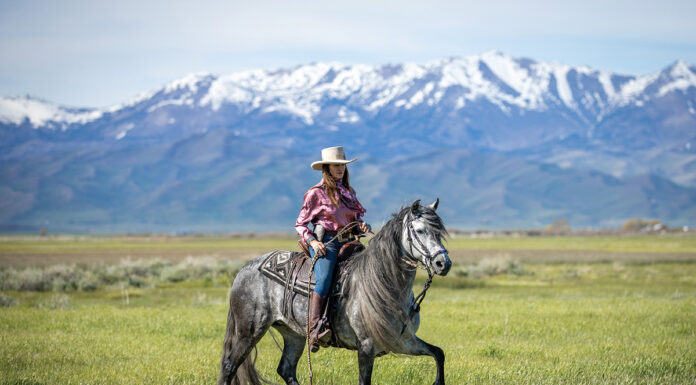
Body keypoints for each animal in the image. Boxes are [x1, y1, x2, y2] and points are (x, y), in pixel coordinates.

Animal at [220, 198, 454, 384]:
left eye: (439, 232)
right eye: (420, 230)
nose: (443, 263)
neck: (383, 285)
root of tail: (244, 269)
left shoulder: (403, 341)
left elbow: (439, 353)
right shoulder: (366, 345)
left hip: (293, 334)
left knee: (286, 369)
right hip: (249, 332)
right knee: (229, 367)